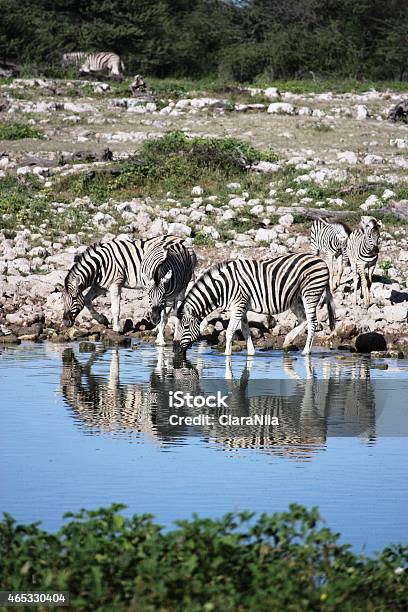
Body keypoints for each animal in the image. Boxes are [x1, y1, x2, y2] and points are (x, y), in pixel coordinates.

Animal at [55, 234, 192, 332]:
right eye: (62, 299)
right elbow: (87, 300)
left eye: (74, 298)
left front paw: (117, 328)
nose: (65, 322)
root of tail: (183, 240)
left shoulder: (115, 284)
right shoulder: (101, 286)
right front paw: (102, 319)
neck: (100, 265)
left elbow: (115, 308)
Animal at [174, 253, 336, 358]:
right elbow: (246, 331)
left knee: (312, 322)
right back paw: (287, 341)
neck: (223, 288)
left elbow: (230, 332)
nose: (175, 350)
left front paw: (226, 354)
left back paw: (305, 352)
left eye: (186, 327)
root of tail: (321, 260)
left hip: (310, 293)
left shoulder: (238, 306)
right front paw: (251, 353)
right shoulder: (242, 308)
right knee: (304, 320)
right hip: (294, 300)